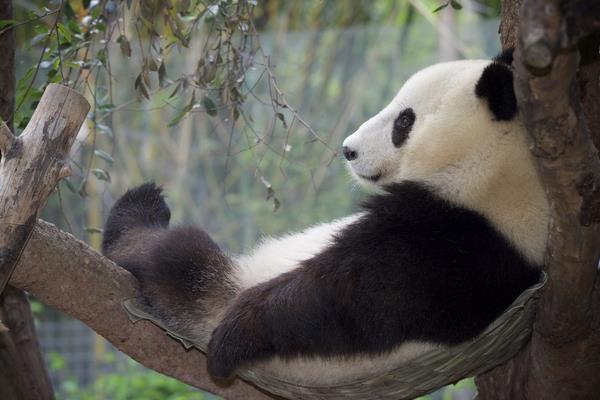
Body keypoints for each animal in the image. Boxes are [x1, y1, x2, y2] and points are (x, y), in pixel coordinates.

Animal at [102, 48, 548, 382]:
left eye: (404, 121)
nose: (349, 149)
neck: (492, 167)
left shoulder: (454, 241)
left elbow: (346, 298)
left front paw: (236, 335)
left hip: (219, 287)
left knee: (178, 257)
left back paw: (138, 217)